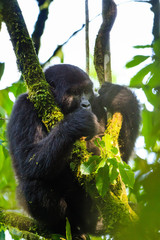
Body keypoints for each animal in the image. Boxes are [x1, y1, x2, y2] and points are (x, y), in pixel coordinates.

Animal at [7, 64, 140, 238]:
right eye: (75, 93)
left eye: (86, 91)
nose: (86, 105)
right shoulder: (23, 108)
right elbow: (27, 158)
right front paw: (77, 123)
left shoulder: (97, 104)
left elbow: (117, 158)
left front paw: (122, 98)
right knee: (33, 186)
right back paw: (65, 228)